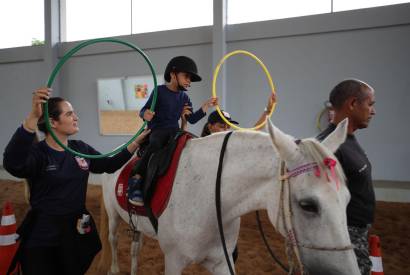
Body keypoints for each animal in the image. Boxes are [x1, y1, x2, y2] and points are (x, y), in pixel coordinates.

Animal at [97, 120, 360, 275]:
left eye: (348, 200)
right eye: (308, 205)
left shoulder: (221, 261)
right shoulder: (173, 261)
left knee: (135, 248)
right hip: (113, 216)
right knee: (113, 239)